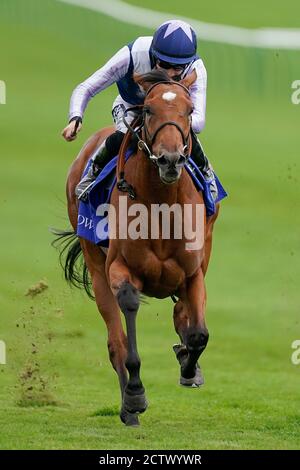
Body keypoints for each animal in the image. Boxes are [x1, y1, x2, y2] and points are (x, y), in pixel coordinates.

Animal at [56, 70, 220, 426]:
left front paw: (189, 365)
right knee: (115, 339)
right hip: (94, 261)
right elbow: (128, 315)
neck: (160, 207)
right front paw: (135, 394)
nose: (170, 160)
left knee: (182, 312)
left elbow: (199, 333)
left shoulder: (193, 273)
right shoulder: (120, 269)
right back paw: (128, 408)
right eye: (148, 110)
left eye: (189, 110)